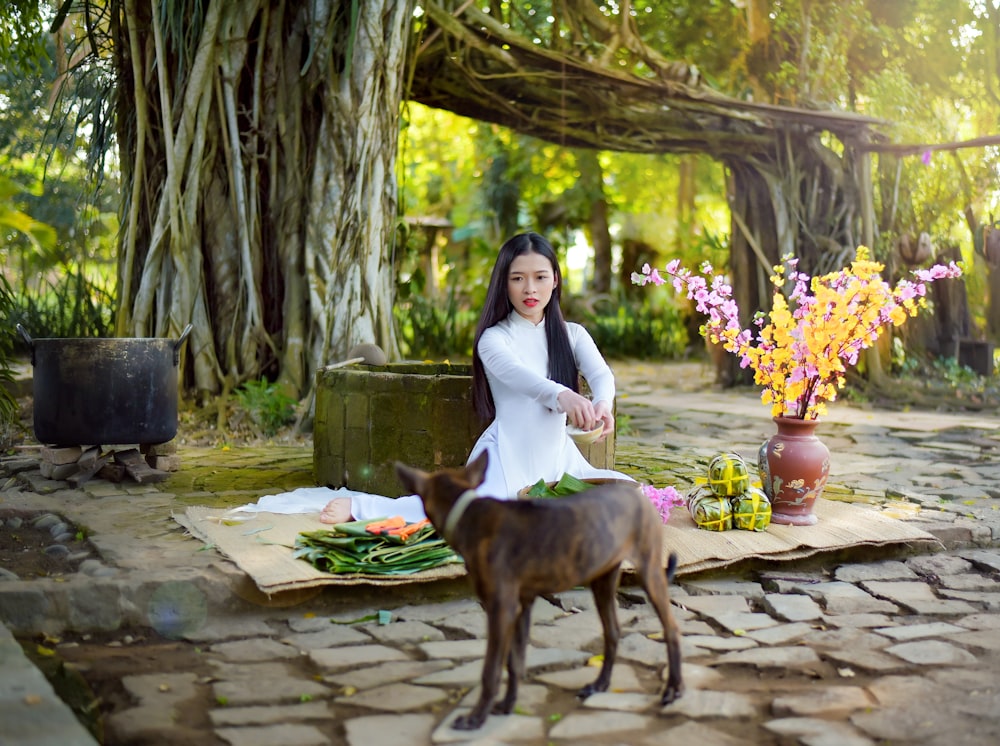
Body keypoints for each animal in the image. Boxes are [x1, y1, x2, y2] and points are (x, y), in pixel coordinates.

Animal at [394, 450, 684, 728]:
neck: (468, 512)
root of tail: (641, 495)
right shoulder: (522, 605)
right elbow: (515, 661)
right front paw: (506, 705)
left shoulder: (501, 607)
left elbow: (491, 669)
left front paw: (476, 718)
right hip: (602, 579)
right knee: (613, 632)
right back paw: (600, 684)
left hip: (648, 571)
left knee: (671, 627)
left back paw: (674, 689)